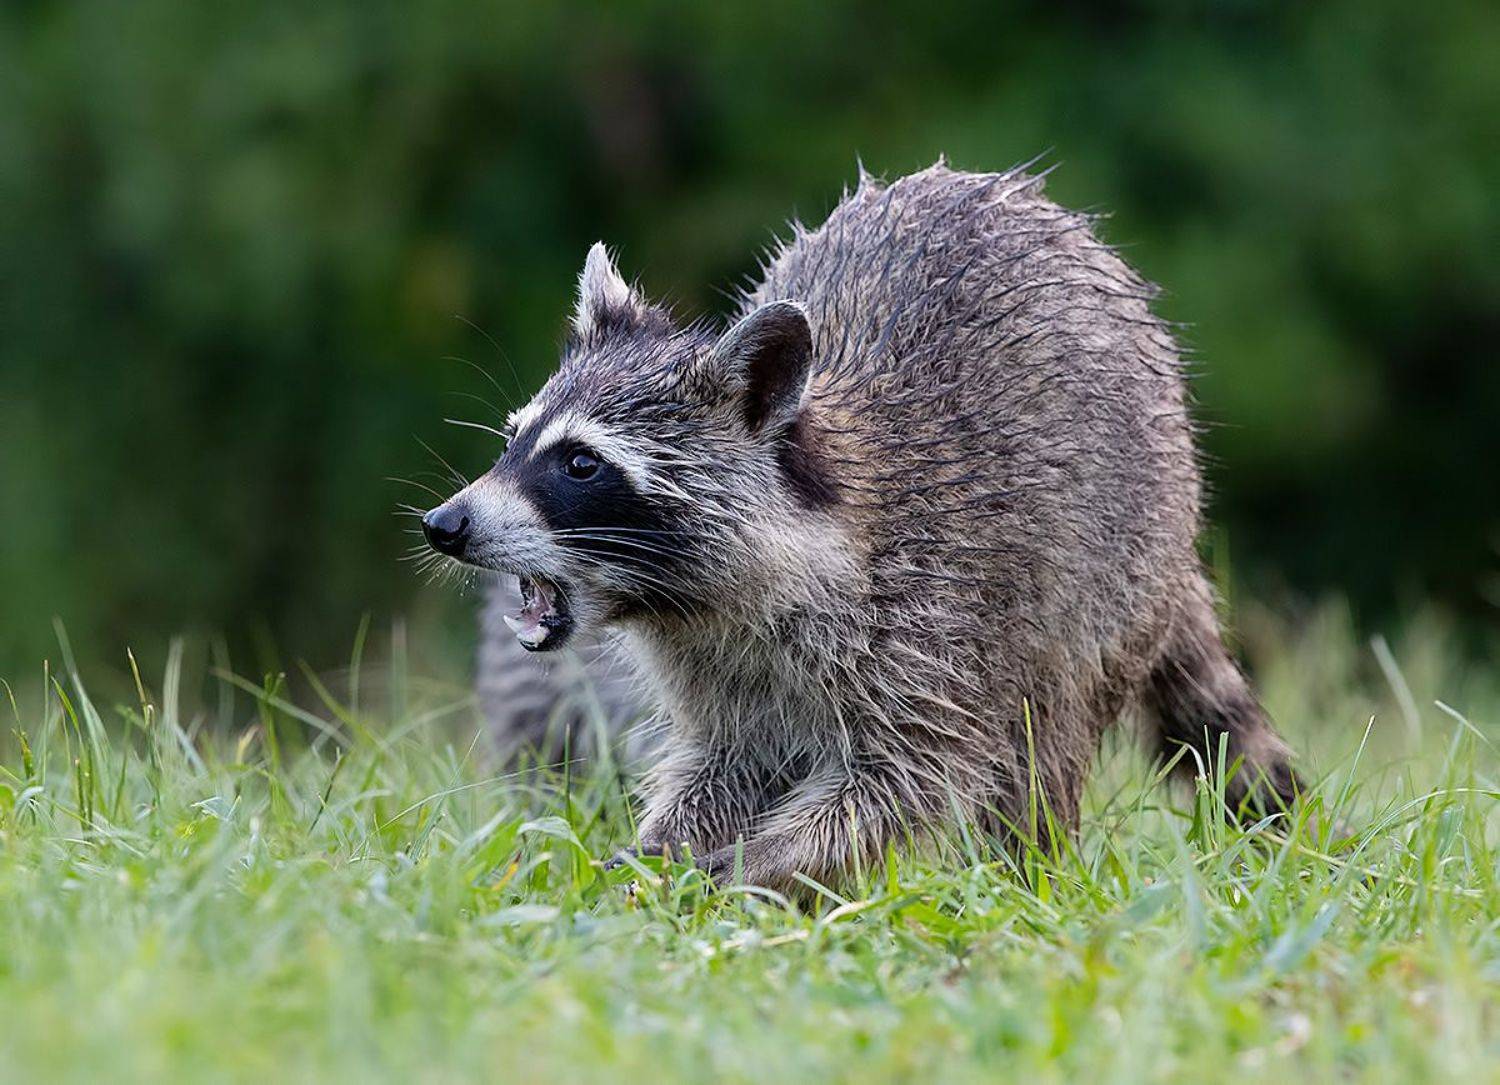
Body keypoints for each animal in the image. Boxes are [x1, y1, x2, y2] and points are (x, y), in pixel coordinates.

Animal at [423, 162, 1302, 891]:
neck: (694, 602)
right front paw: (659, 850)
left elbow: (903, 781)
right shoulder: (723, 680)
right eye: (514, 439)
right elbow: (721, 770)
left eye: (580, 463)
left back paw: (1026, 877)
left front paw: (760, 860)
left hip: (1106, 575)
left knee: (1044, 736)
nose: (445, 522)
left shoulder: (932, 623)